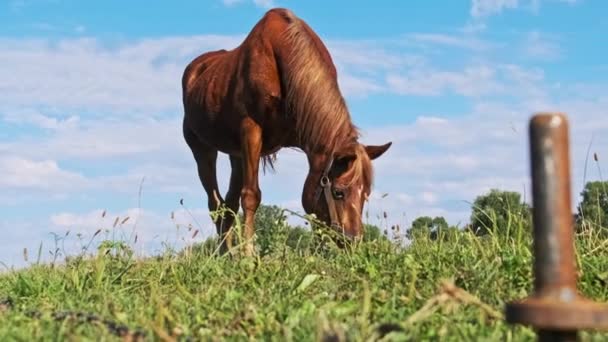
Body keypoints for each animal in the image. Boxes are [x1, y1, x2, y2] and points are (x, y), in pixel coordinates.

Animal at [182, 8, 390, 255]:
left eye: (366, 193)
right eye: (339, 192)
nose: (353, 242)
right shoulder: (251, 131)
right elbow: (251, 195)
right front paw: (249, 256)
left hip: (237, 154)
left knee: (228, 204)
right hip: (202, 149)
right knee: (215, 203)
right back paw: (224, 254)